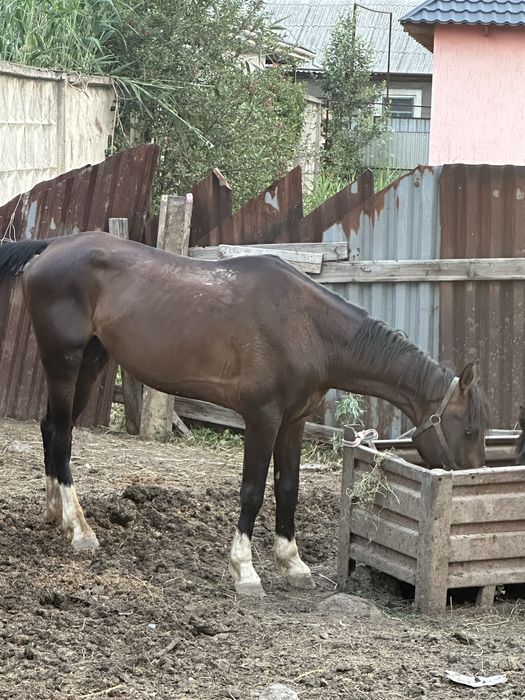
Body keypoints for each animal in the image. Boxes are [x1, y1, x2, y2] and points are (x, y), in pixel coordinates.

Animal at [0, 231, 489, 596]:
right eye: (468, 429)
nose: (473, 481)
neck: (307, 326)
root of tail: (51, 247)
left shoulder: (292, 423)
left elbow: (288, 487)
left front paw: (293, 563)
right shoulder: (262, 419)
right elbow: (253, 490)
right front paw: (245, 570)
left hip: (91, 361)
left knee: (51, 428)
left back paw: (56, 517)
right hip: (64, 360)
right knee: (62, 436)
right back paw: (80, 530)